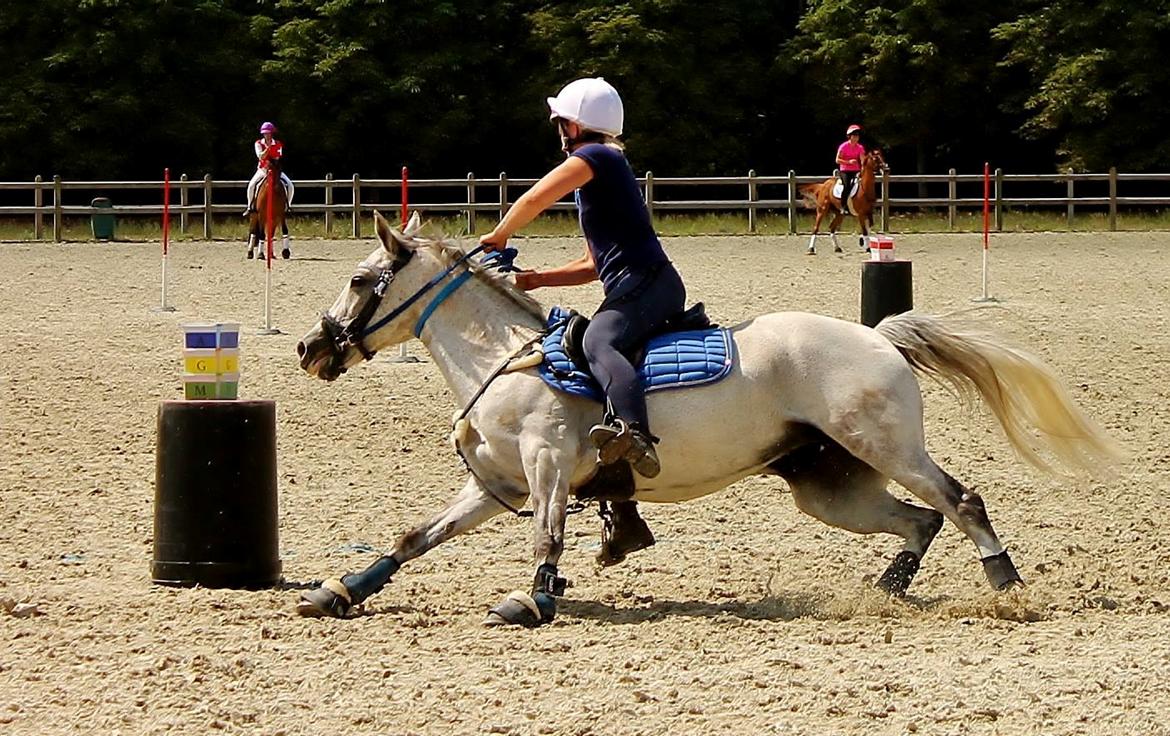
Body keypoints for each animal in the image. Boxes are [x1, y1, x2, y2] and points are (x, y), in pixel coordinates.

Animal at [290, 210, 1113, 627]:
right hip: (827, 486)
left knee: (961, 500)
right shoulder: (496, 484)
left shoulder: (547, 467)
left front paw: (534, 598)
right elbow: (414, 537)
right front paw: (341, 590)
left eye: (360, 279)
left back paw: (1006, 585)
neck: (507, 357)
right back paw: (885, 589)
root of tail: (879, 335)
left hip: (886, 445)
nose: (308, 347)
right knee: (921, 520)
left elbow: (548, 535)